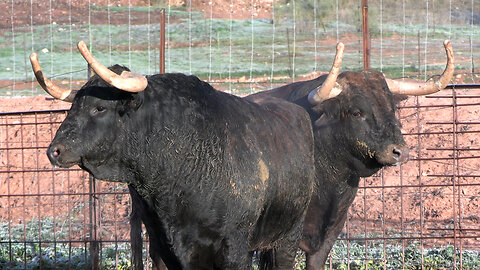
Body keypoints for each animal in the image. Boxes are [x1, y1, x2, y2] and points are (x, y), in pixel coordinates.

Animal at [45, 66, 316, 268]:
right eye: (73, 106)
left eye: (99, 107)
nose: (53, 151)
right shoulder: (163, 244)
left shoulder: (234, 246)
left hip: (287, 238)